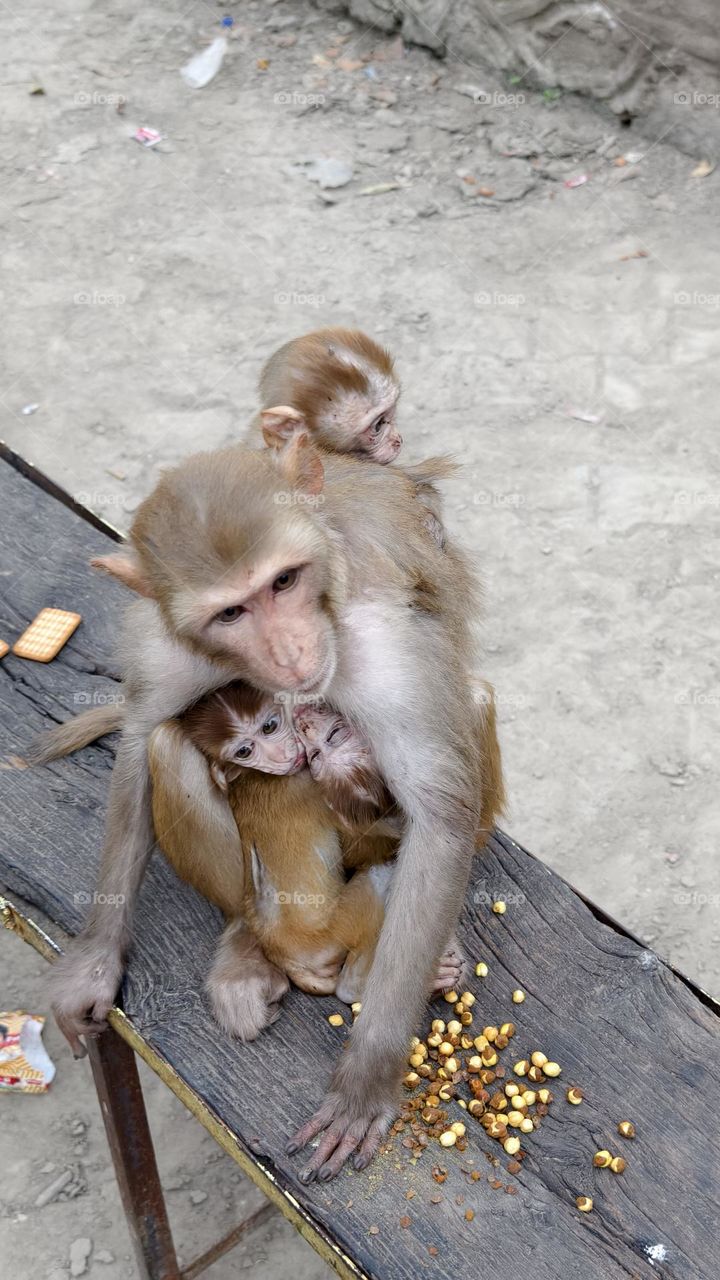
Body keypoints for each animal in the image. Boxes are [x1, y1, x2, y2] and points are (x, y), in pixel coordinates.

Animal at [45, 432, 501, 1183]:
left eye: (283, 583)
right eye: (232, 611)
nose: (289, 651)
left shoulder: (379, 644)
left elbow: (440, 814)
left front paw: (366, 1079)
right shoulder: (174, 647)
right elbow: (140, 735)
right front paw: (94, 962)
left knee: (468, 703)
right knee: (166, 745)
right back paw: (245, 947)